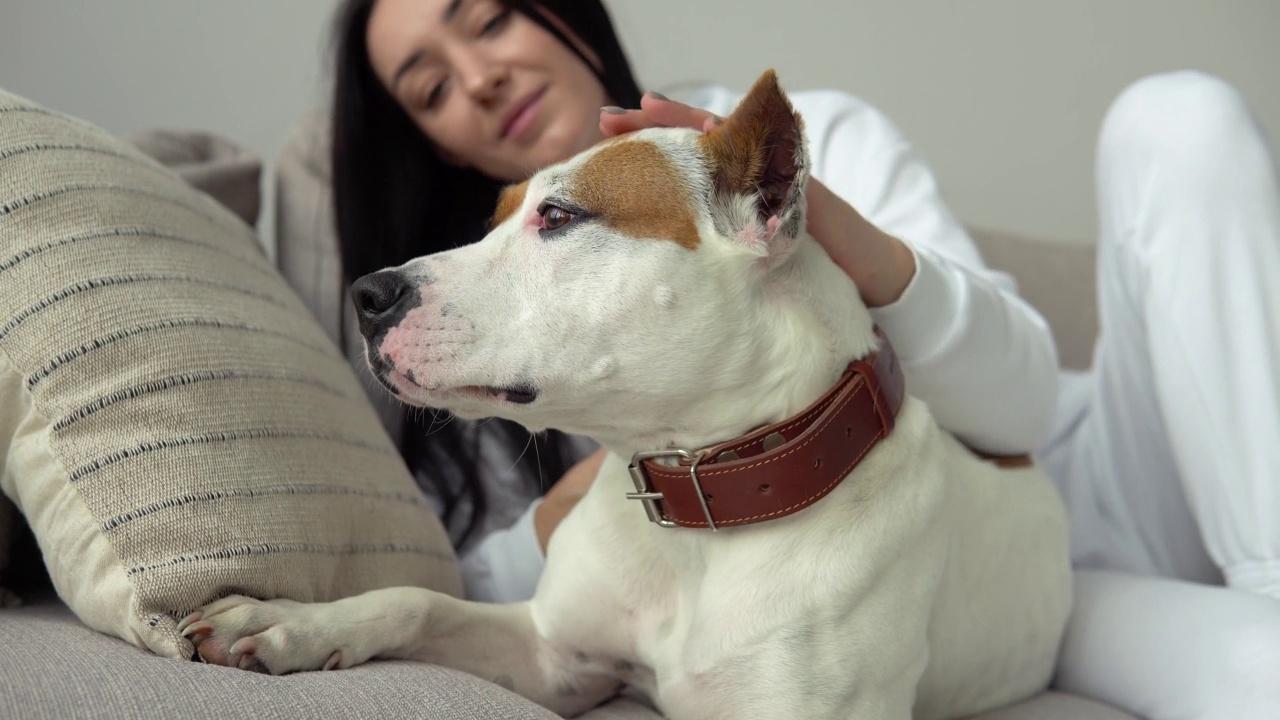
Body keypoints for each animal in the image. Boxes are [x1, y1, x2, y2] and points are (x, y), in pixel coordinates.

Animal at [185, 68, 1075, 717]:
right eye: (495, 216)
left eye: (559, 216)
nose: (366, 295)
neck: (694, 522)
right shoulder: (554, 658)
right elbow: (418, 601)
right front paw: (292, 620)